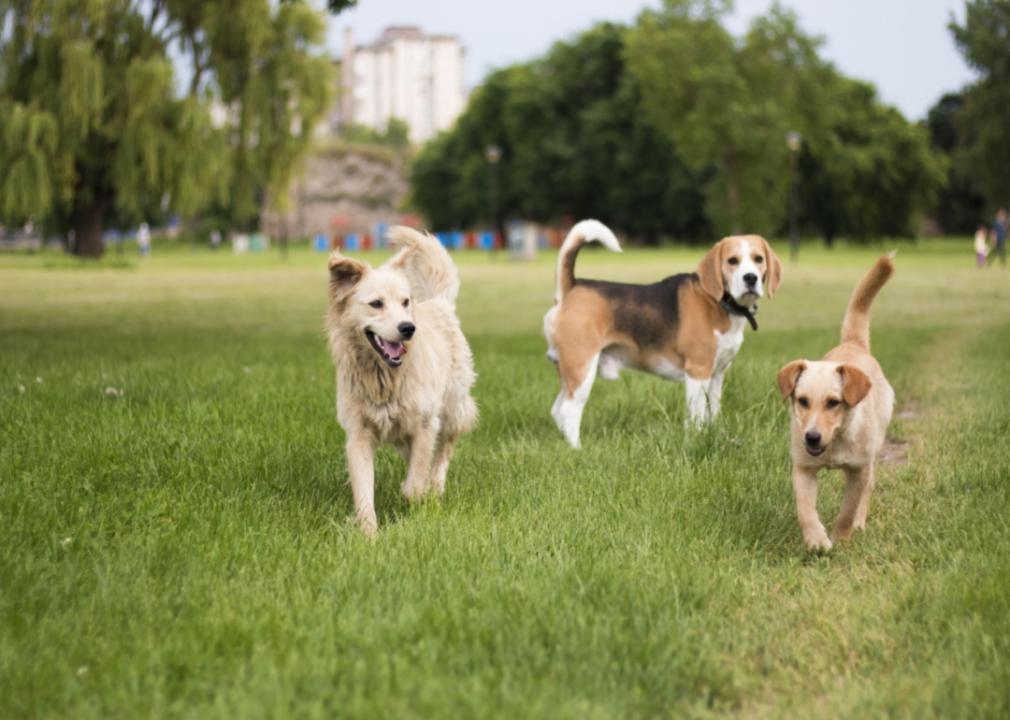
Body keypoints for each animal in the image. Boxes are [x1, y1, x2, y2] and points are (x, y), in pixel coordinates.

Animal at [325, 226, 478, 533]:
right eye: (376, 304)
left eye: (405, 302)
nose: (408, 328)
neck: (384, 376)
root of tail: (438, 303)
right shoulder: (358, 434)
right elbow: (363, 491)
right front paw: (368, 533)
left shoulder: (425, 424)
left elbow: (414, 483)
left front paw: (417, 500)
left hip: (453, 408)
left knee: (443, 449)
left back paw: (436, 486)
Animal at [545, 219, 779, 446]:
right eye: (732, 261)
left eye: (758, 259)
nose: (750, 278)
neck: (719, 302)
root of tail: (572, 287)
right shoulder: (698, 371)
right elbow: (696, 416)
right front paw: (696, 440)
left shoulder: (718, 373)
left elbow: (713, 411)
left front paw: (715, 436)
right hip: (582, 367)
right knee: (569, 410)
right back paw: (578, 449)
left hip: (568, 371)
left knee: (557, 409)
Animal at [775, 255, 896, 553]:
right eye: (802, 401)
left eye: (833, 402)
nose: (812, 437)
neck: (836, 442)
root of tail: (854, 344)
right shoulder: (803, 469)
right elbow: (805, 509)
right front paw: (817, 541)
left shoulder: (859, 470)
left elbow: (848, 509)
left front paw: (841, 537)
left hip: (875, 449)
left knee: (868, 490)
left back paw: (860, 525)